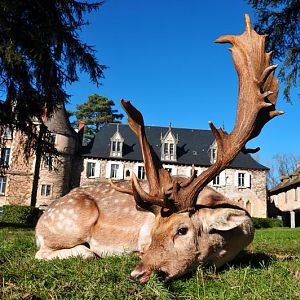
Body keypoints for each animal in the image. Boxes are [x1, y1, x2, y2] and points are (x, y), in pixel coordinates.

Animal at [35, 15, 282, 282]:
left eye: (182, 230)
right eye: (154, 231)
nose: (137, 273)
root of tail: (40, 222)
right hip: (69, 222)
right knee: (53, 252)